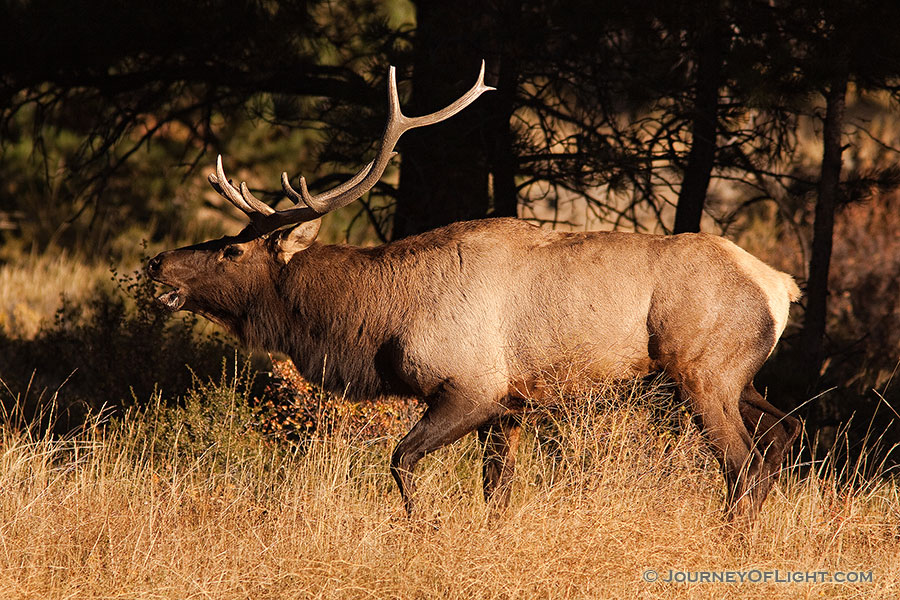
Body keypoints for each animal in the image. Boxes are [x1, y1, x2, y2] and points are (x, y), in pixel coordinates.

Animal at [149, 62, 800, 520]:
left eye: (232, 251)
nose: (157, 263)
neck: (376, 324)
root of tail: (782, 286)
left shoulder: (471, 387)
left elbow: (400, 460)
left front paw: (424, 528)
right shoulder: (507, 410)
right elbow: (497, 495)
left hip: (702, 372)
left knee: (745, 466)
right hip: (738, 376)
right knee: (781, 436)